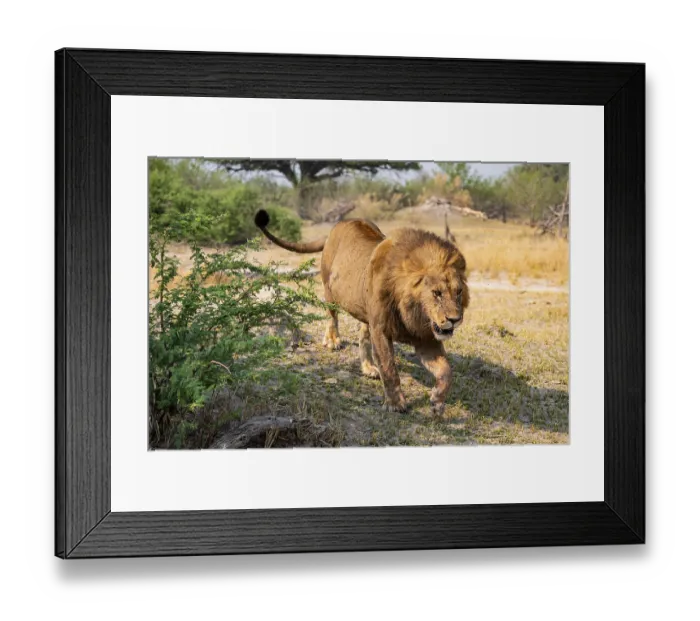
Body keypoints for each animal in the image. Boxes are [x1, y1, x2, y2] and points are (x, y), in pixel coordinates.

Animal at [254, 210, 470, 415]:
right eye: (437, 293)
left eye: (458, 292)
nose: (455, 319)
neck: (415, 314)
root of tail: (337, 225)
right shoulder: (381, 330)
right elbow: (389, 367)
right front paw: (395, 403)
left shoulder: (425, 338)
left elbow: (446, 371)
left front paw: (437, 401)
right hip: (329, 289)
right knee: (332, 317)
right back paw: (332, 340)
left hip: (366, 314)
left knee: (363, 337)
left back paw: (368, 367)